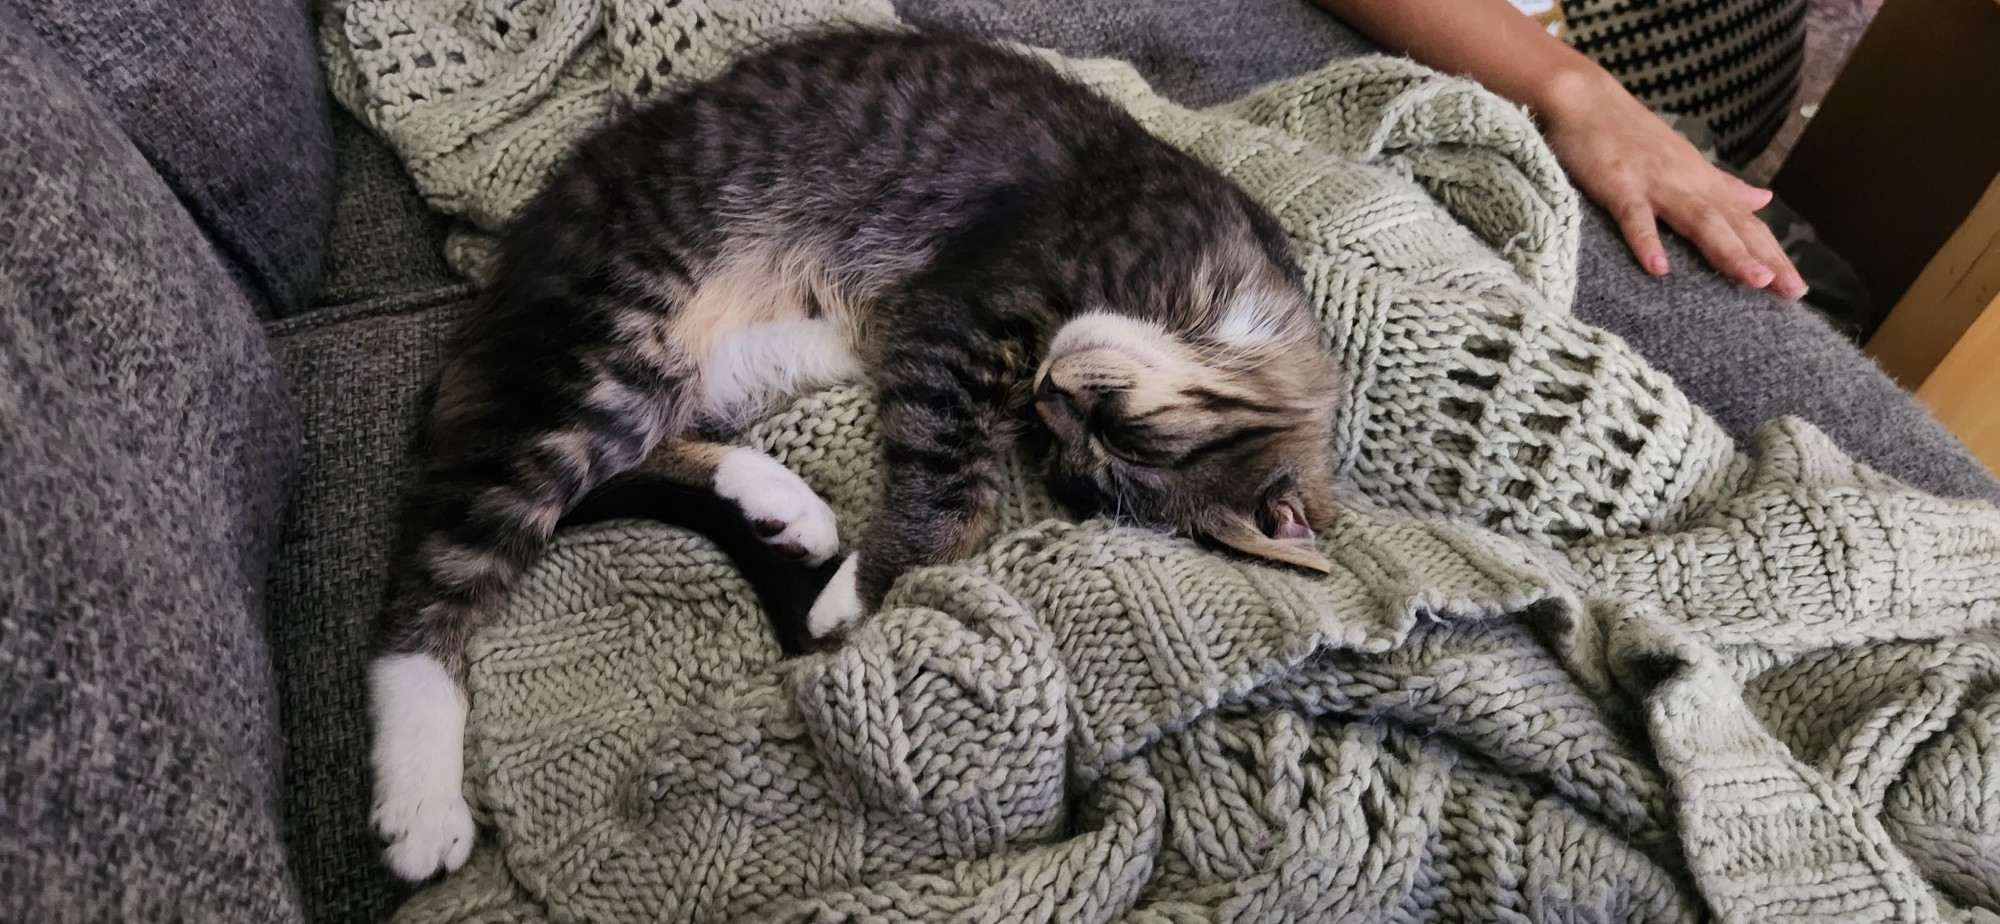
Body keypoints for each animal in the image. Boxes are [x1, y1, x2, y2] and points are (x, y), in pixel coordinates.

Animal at [376, 28, 1344, 880]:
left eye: (1090, 444)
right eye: (1117, 431)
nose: (1049, 395)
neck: (1221, 289)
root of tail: (504, 279)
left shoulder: (929, 334)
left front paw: (847, 578)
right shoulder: (955, 316)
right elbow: (961, 493)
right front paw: (854, 599)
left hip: (707, 368)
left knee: (627, 464)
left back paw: (784, 505)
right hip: (613, 337)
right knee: (448, 546)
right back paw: (419, 796)